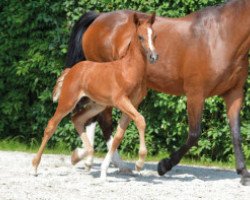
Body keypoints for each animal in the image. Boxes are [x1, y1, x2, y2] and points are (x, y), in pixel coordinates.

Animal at [31, 13, 158, 179]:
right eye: (140, 36)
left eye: (154, 36)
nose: (153, 56)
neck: (128, 70)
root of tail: (71, 70)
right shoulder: (121, 101)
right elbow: (141, 120)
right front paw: (139, 163)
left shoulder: (133, 104)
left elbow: (118, 135)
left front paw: (106, 168)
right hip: (68, 102)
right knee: (51, 125)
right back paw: (35, 167)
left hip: (97, 105)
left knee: (77, 119)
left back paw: (83, 155)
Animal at [66, 0, 250, 185]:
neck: (219, 36)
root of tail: (99, 18)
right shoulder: (195, 93)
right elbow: (194, 134)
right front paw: (164, 165)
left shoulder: (234, 94)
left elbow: (236, 133)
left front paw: (243, 173)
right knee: (102, 121)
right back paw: (99, 160)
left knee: (94, 118)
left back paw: (90, 159)